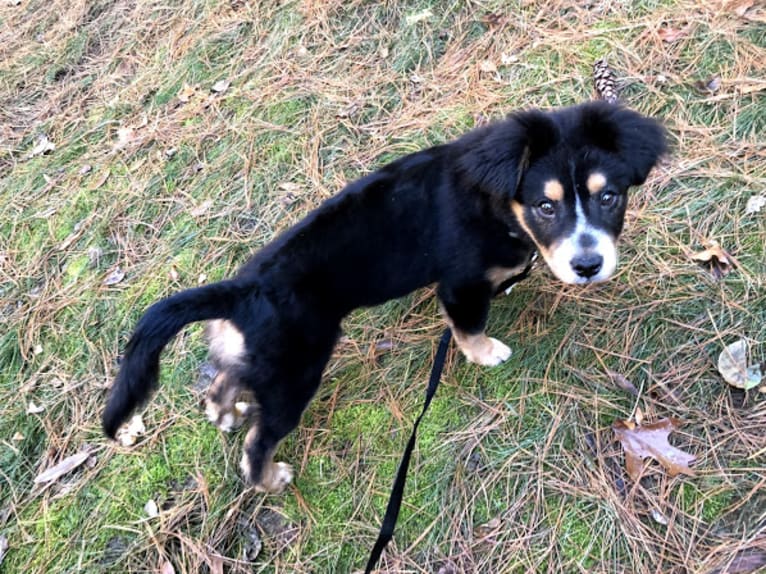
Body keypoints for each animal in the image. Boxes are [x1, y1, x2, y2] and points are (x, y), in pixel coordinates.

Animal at [102, 101, 664, 492]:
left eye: (609, 197)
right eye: (546, 207)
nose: (588, 266)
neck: (494, 200)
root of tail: (242, 291)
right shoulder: (459, 285)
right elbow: (469, 326)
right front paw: (487, 354)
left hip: (258, 357)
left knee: (224, 381)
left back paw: (224, 412)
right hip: (295, 374)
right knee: (256, 444)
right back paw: (270, 478)